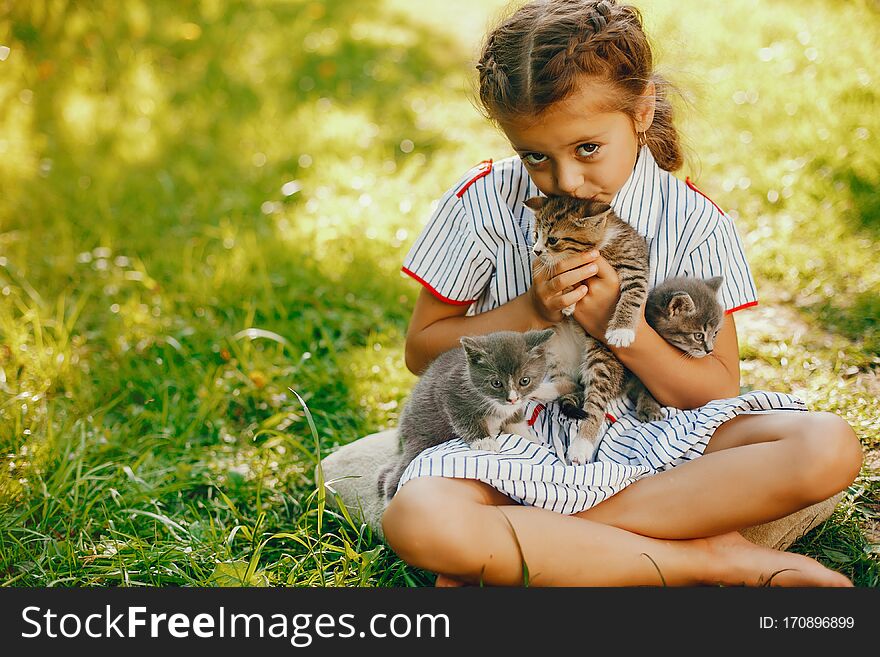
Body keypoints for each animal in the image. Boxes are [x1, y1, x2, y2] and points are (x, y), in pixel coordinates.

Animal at [376, 328, 564, 498]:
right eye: (496, 383)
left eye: (524, 380)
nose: (512, 399)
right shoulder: (451, 394)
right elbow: (466, 421)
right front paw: (485, 442)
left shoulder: (515, 407)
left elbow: (515, 419)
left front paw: (530, 436)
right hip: (420, 438)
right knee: (398, 473)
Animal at [524, 196, 648, 466]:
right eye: (536, 234)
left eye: (552, 239)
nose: (536, 251)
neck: (602, 245)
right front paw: (568, 302)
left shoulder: (635, 267)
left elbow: (634, 295)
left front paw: (622, 329)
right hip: (552, 344)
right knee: (570, 383)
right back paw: (541, 389)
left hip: (602, 358)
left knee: (594, 403)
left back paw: (582, 444)